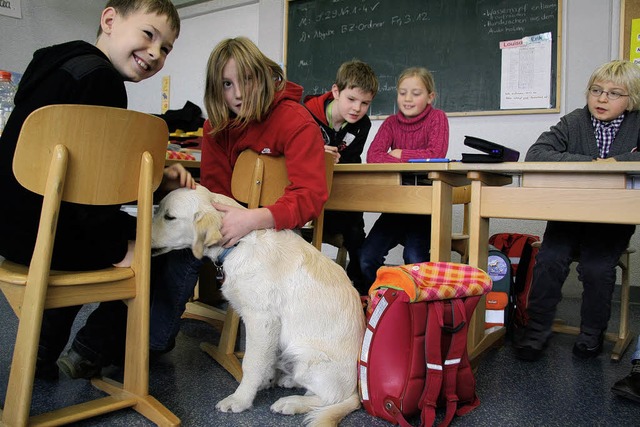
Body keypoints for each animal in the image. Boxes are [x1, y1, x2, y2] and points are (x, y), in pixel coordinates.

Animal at [151, 187, 364, 427]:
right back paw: (288, 381)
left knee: (330, 397)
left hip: (306, 355)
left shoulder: (261, 319)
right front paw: (263, 382)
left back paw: (291, 402)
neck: (239, 244)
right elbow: (263, 361)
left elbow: (251, 364)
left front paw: (240, 399)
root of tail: (357, 390)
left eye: (169, 217)